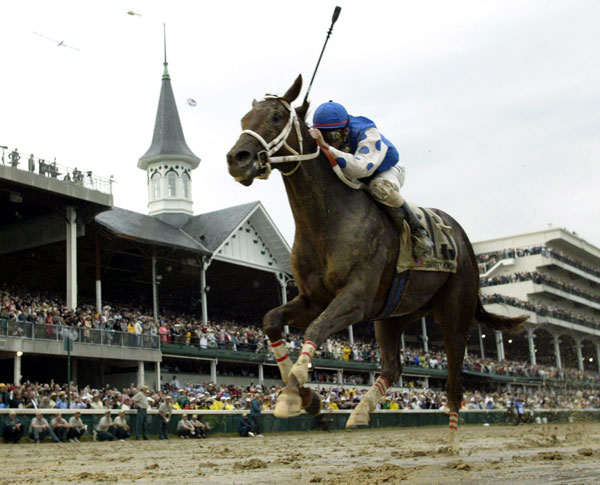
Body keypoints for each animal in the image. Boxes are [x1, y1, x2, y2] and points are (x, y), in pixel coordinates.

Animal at [225, 76, 524, 432]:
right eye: (243, 119)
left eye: (275, 117)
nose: (237, 158)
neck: (327, 222)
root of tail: (464, 242)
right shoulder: (313, 300)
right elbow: (271, 320)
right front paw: (307, 398)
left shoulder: (356, 298)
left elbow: (315, 330)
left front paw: (291, 396)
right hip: (394, 315)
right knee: (394, 367)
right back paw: (359, 412)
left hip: (455, 315)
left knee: (454, 386)